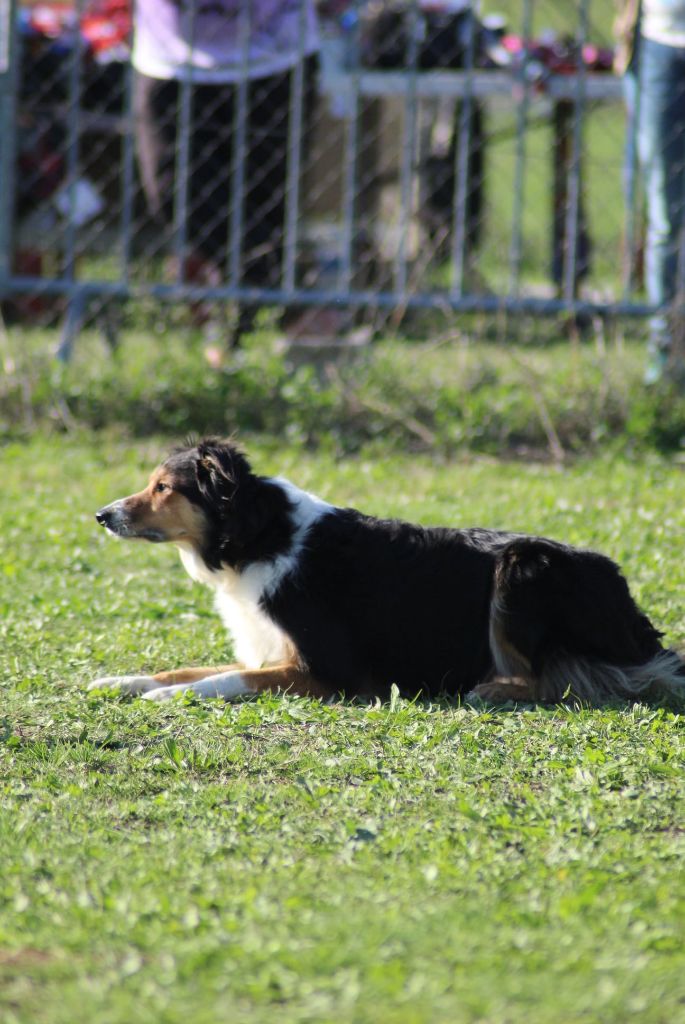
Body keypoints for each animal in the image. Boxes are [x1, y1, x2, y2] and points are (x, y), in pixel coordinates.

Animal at [90, 436, 683, 708]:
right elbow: (184, 668)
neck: (255, 536)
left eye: (163, 487)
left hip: (522, 569)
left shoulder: (330, 673)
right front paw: (123, 681)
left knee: (561, 680)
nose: (102, 515)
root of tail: (632, 612)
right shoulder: (268, 650)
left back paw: (492, 688)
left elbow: (222, 680)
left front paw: (166, 698)